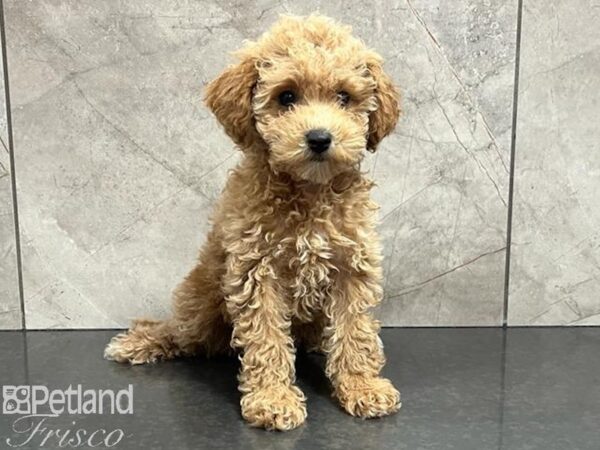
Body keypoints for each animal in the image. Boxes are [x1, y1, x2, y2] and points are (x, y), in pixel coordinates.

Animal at [105, 13, 400, 428]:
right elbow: (266, 338)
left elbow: (354, 331)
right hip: (200, 306)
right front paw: (273, 399)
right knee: (180, 331)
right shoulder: (257, 270)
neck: (308, 192)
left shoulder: (352, 268)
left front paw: (361, 386)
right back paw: (143, 340)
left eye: (344, 97)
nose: (320, 138)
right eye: (286, 97)